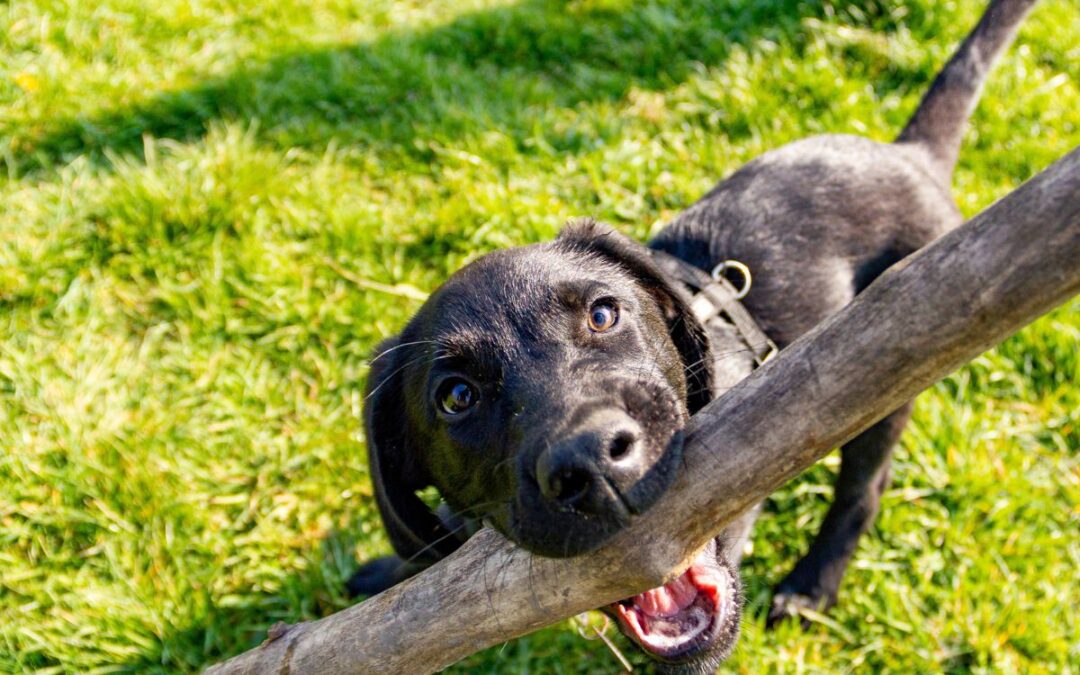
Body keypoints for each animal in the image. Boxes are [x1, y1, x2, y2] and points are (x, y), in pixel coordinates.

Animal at [347, 2, 1036, 669]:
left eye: (603, 314)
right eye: (456, 397)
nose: (591, 460)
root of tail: (910, 156)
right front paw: (391, 568)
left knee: (862, 489)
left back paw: (811, 583)